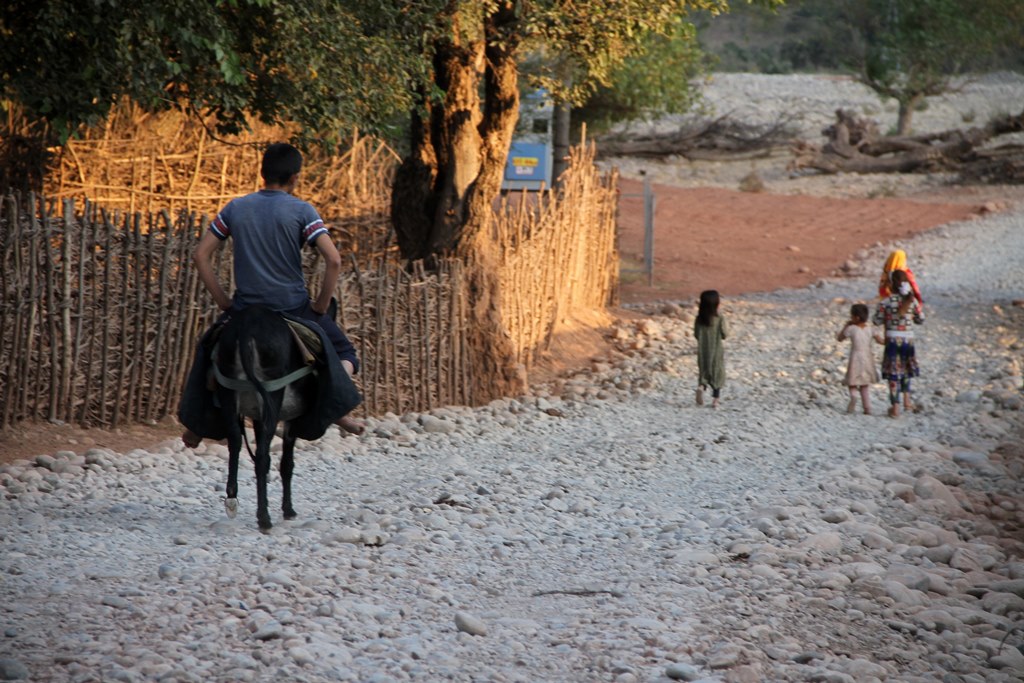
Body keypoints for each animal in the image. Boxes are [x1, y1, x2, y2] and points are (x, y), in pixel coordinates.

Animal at [212, 305, 319, 531]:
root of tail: (247, 324)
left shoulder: (258, 417)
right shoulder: (292, 418)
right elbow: (287, 464)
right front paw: (288, 510)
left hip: (227, 389)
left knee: (235, 440)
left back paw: (232, 498)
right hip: (272, 392)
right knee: (262, 455)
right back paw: (264, 518)